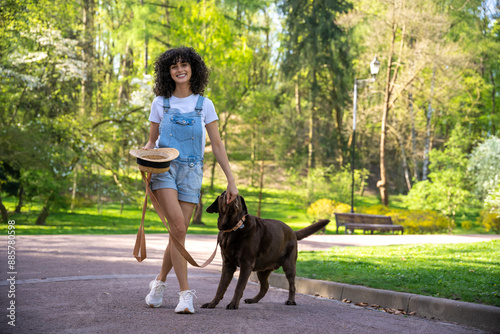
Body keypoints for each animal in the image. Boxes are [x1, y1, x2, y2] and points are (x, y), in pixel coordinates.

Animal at [201, 192, 330, 310]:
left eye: (237, 195)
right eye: (223, 195)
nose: (231, 195)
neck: (232, 228)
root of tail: (293, 231)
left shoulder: (246, 264)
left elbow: (239, 286)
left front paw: (233, 304)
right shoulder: (228, 264)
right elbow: (220, 287)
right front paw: (212, 304)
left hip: (289, 265)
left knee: (292, 285)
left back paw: (291, 301)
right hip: (262, 269)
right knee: (265, 286)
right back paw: (253, 299)